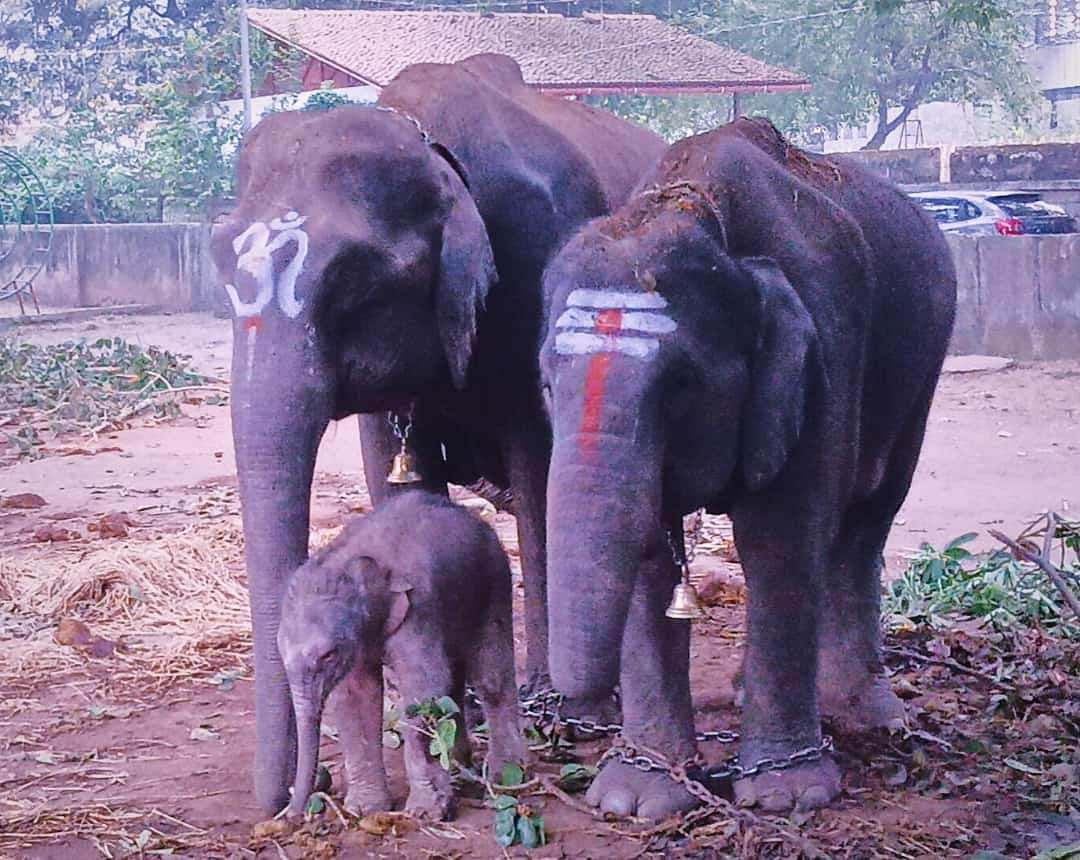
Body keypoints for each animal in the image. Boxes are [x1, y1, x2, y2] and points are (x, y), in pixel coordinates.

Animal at [278, 491, 523, 820]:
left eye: (328, 655)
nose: (292, 814)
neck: (349, 563)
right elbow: (356, 698)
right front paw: (364, 810)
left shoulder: (419, 609)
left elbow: (423, 690)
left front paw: (427, 813)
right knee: (455, 682)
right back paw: (460, 772)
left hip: (494, 582)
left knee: (490, 676)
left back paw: (505, 777)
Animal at [538, 117, 957, 818]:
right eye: (545, 385)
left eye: (681, 386)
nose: (579, 721)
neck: (691, 208)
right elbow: (650, 556)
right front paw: (636, 798)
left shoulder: (825, 344)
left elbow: (778, 539)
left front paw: (790, 796)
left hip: (925, 360)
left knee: (868, 518)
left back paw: (864, 715)